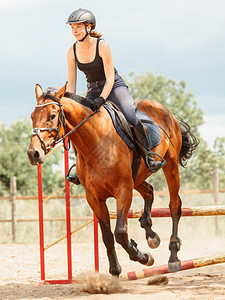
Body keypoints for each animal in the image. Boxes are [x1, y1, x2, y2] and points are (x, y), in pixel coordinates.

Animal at [27, 82, 198, 276]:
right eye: (32, 116)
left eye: (52, 116)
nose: (33, 153)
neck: (94, 144)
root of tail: (164, 109)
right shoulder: (94, 197)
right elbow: (107, 235)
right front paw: (115, 269)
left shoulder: (123, 190)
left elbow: (120, 232)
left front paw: (143, 257)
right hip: (137, 176)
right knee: (149, 191)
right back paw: (151, 234)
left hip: (170, 165)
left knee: (175, 205)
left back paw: (174, 256)